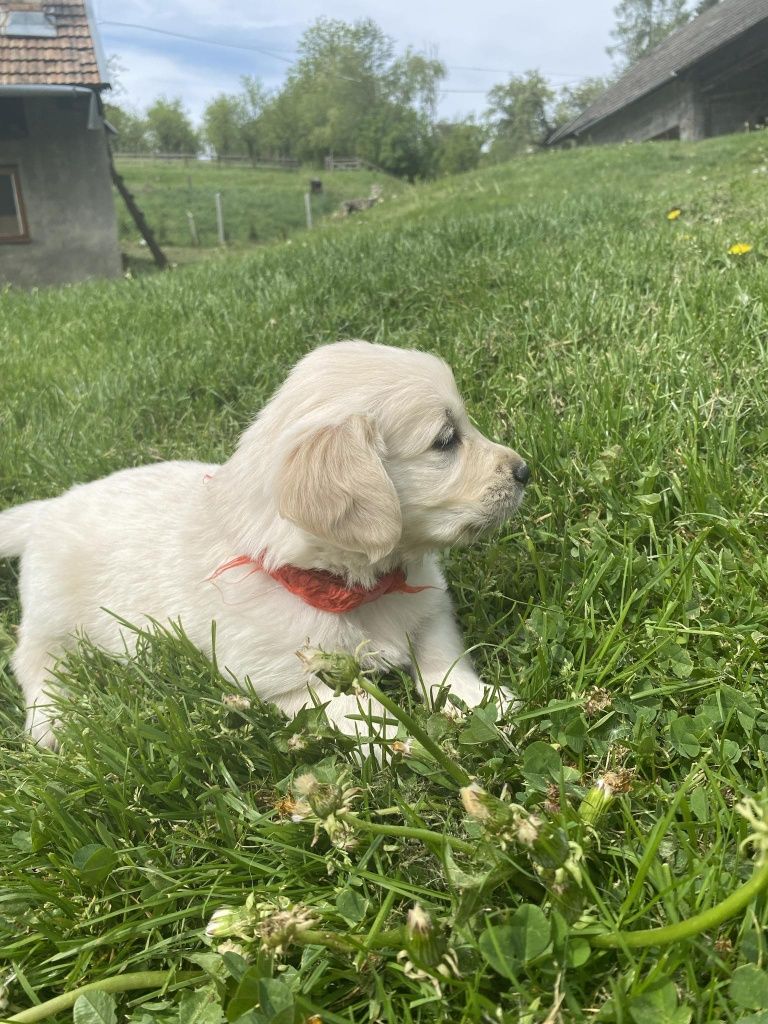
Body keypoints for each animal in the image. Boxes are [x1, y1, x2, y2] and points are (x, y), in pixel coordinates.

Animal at [0, 339, 528, 749]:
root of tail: (46, 508)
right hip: (56, 615)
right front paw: (395, 742)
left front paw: (481, 700)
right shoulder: (276, 677)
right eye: (446, 440)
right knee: (33, 658)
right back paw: (51, 722)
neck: (348, 586)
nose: (525, 471)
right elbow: (350, 708)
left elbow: (443, 657)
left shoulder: (430, 606)